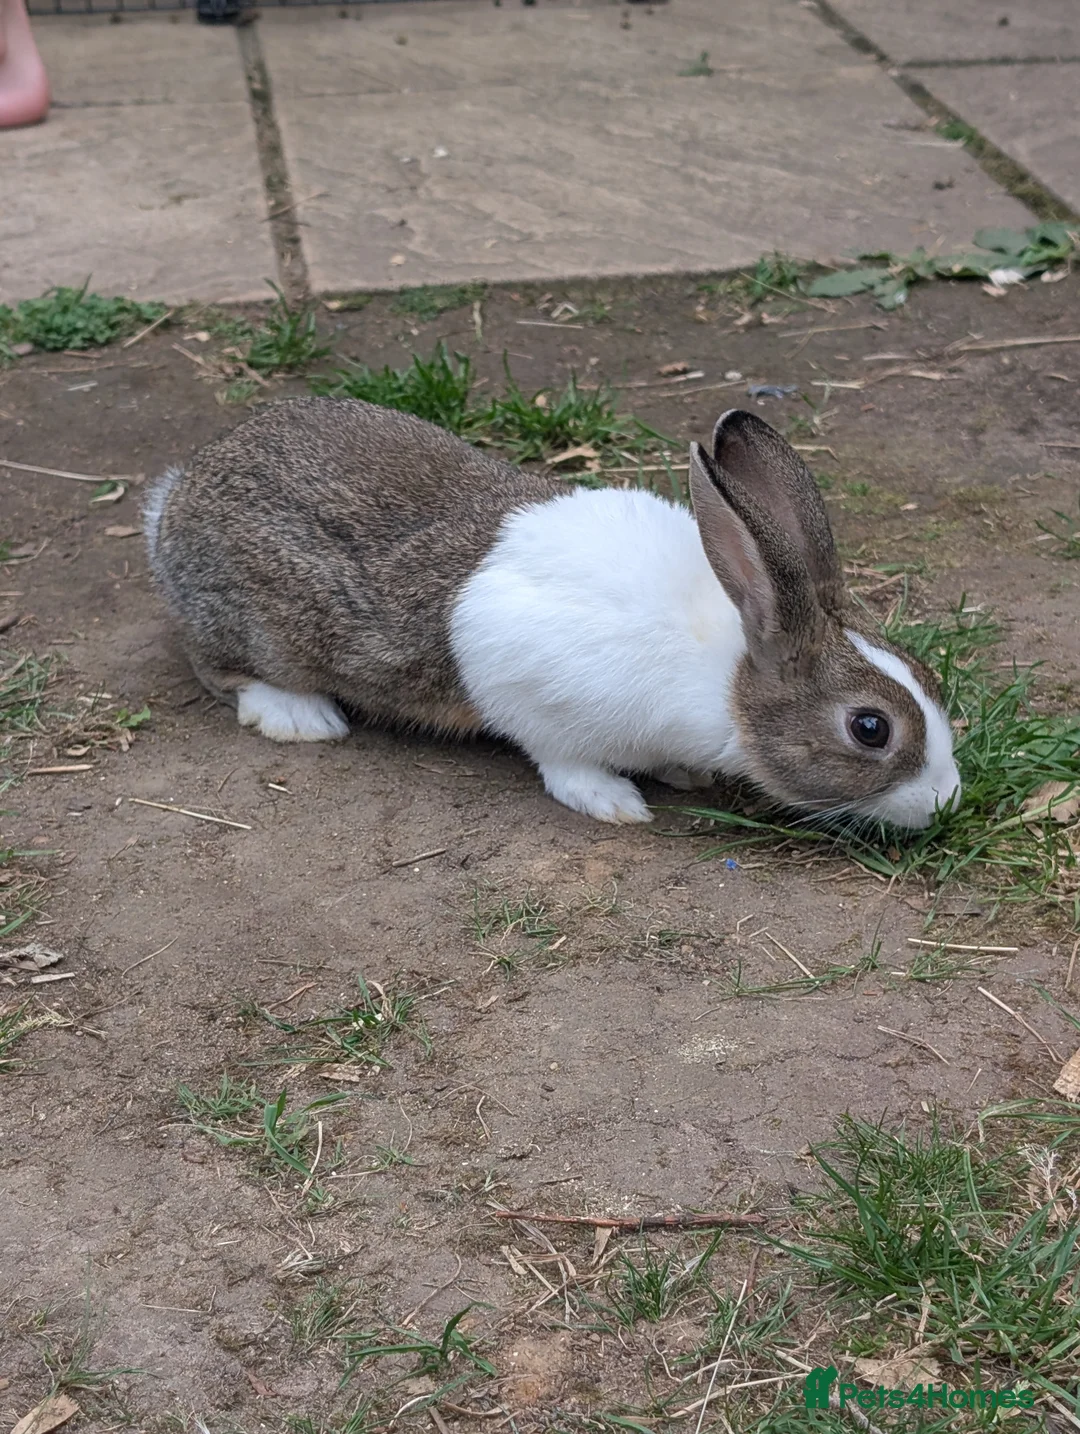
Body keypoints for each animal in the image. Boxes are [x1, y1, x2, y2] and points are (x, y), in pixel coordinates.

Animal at [144, 398, 960, 829]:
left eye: (927, 678)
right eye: (870, 728)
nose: (946, 800)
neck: (729, 675)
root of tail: (175, 498)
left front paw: (682, 776)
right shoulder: (538, 696)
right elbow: (562, 761)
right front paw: (615, 802)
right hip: (255, 626)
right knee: (222, 668)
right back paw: (301, 717)